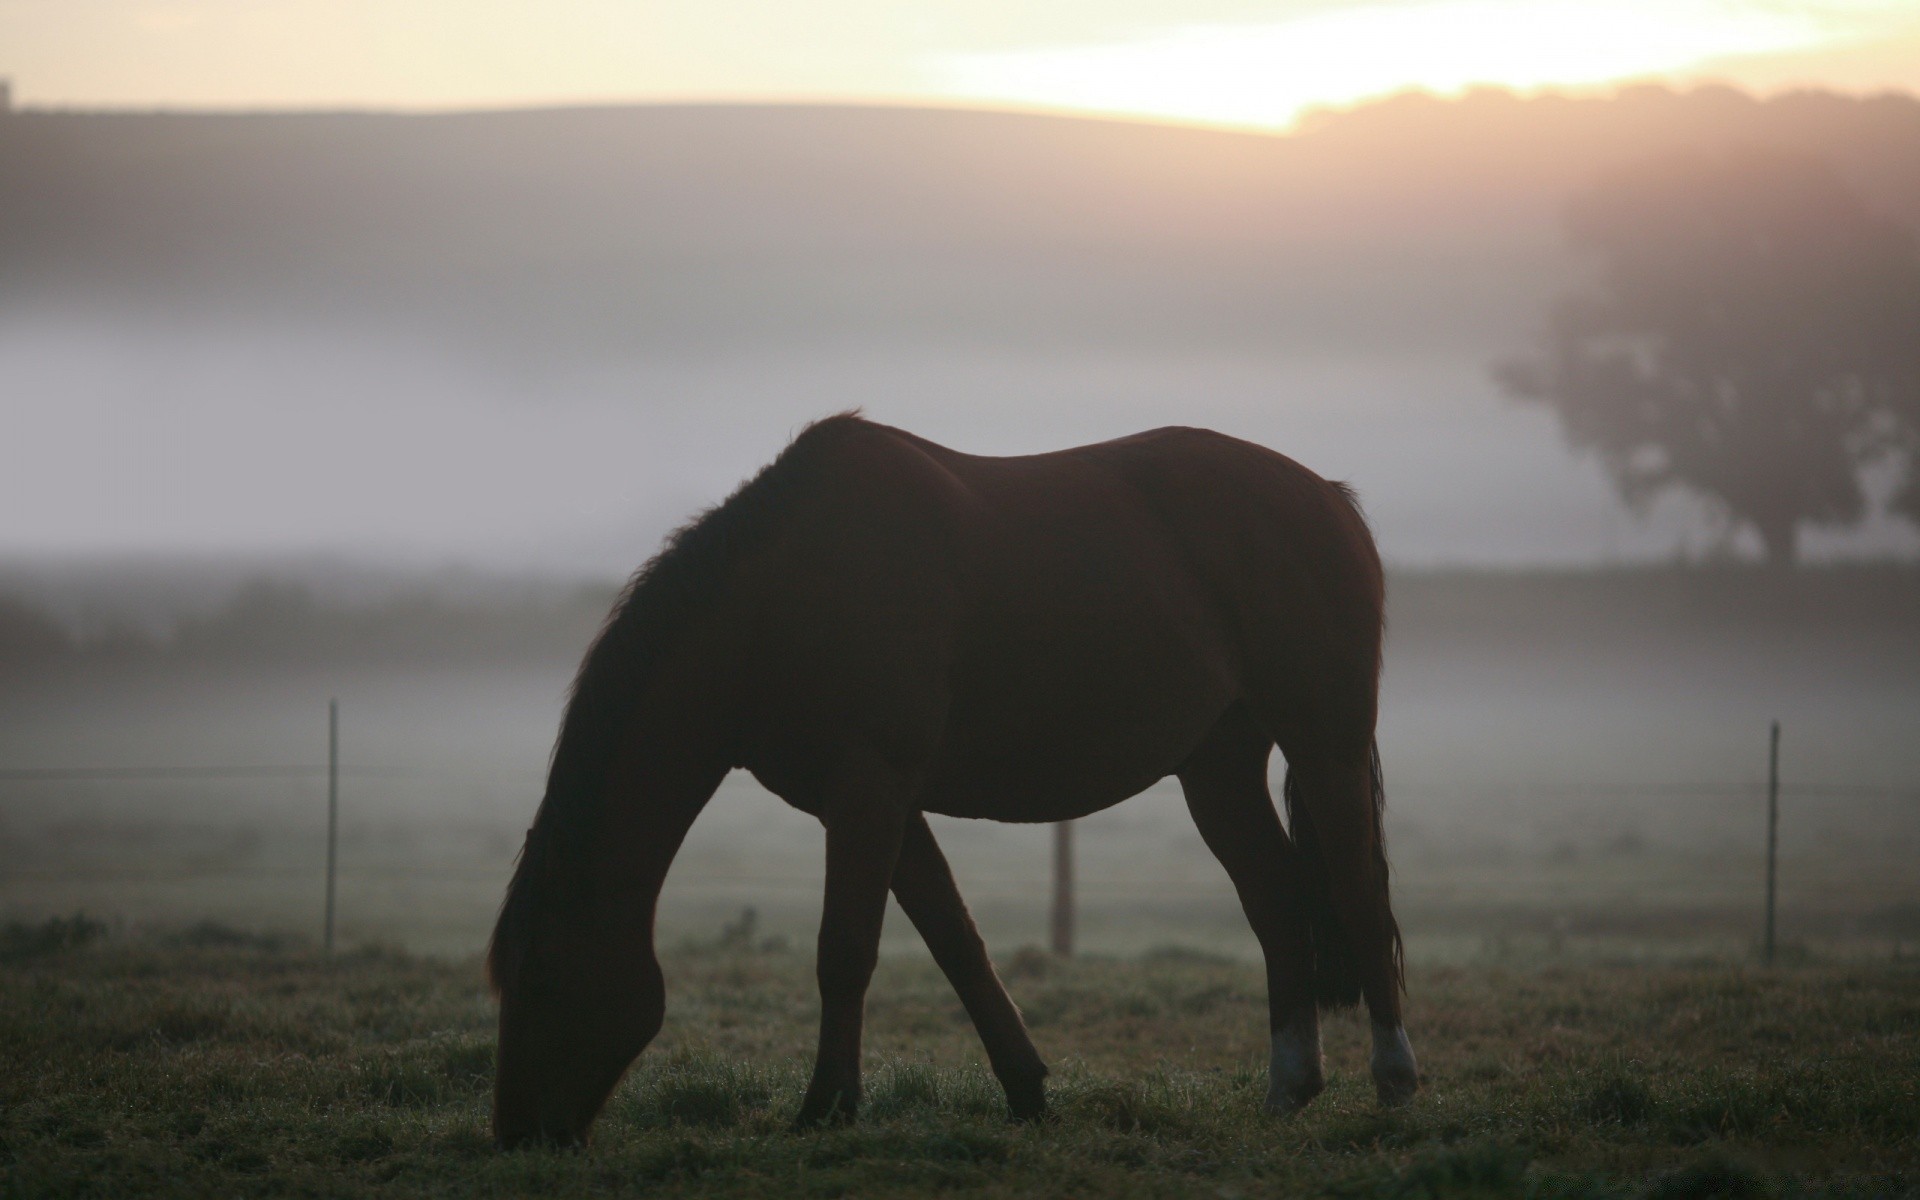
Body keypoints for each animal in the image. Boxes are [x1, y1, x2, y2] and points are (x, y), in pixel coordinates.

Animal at [491, 410, 1428, 1144]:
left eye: (541, 978)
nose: (514, 1135)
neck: (785, 598)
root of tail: (1327, 498)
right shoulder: (880, 806)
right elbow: (956, 944)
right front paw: (1026, 1091)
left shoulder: (868, 792)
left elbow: (845, 952)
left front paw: (825, 1108)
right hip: (1217, 768)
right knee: (1276, 900)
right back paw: (1289, 1087)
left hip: (1325, 743)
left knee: (1357, 890)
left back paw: (1395, 1081)